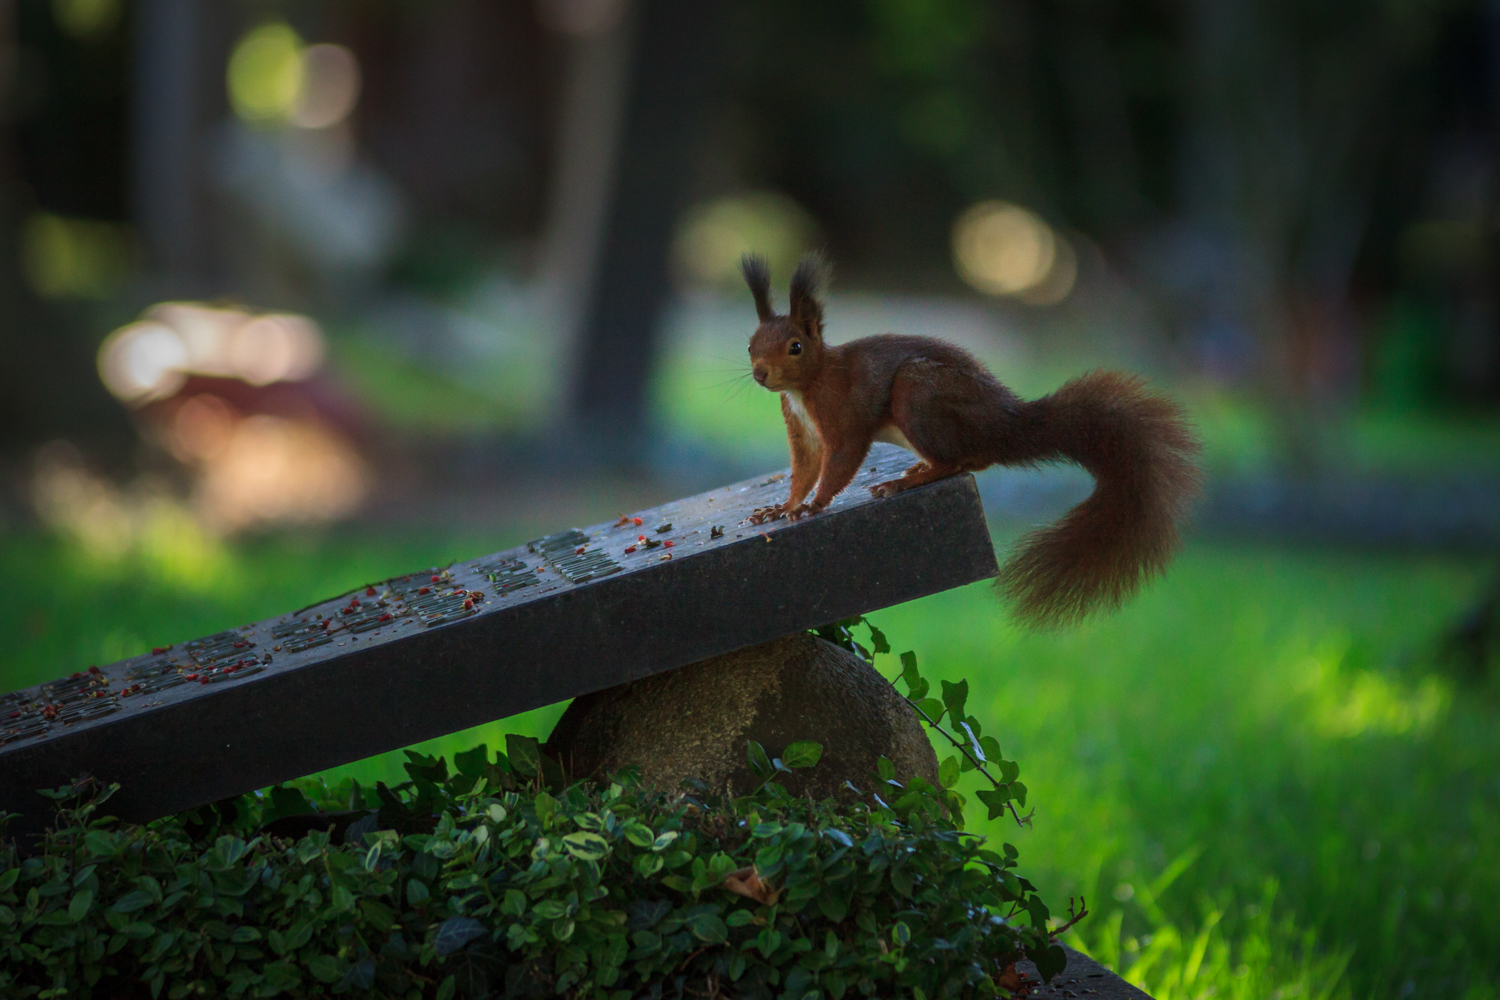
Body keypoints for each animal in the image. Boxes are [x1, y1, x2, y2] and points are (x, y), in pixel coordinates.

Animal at [744, 251, 1200, 626]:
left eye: (795, 347)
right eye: (750, 345)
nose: (760, 374)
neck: (806, 386)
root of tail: (1005, 425)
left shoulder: (845, 417)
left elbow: (840, 461)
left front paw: (813, 505)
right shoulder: (801, 431)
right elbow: (803, 469)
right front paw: (781, 507)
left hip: (918, 394)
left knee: (961, 460)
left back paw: (908, 480)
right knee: (972, 459)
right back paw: (918, 468)